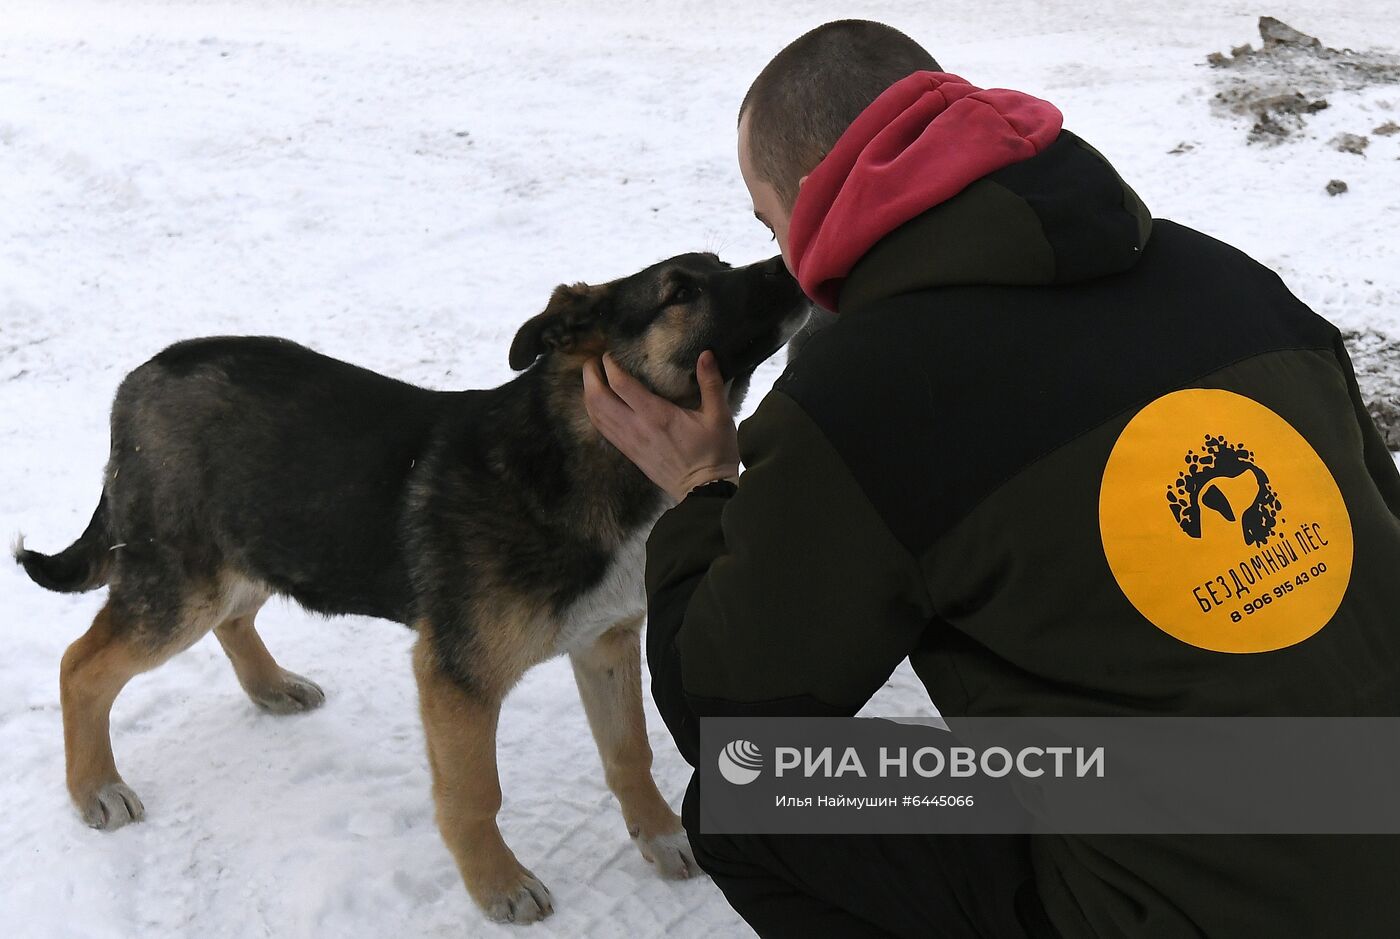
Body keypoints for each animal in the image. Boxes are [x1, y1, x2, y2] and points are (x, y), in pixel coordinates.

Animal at [10, 253, 812, 929]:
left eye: (720, 263)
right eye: (681, 290)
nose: (787, 265)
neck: (581, 449)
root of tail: (139, 378)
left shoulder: (606, 640)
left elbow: (629, 751)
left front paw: (662, 836)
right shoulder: (456, 675)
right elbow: (475, 793)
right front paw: (498, 886)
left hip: (263, 547)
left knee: (231, 619)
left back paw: (270, 687)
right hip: (183, 585)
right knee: (82, 666)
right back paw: (95, 787)